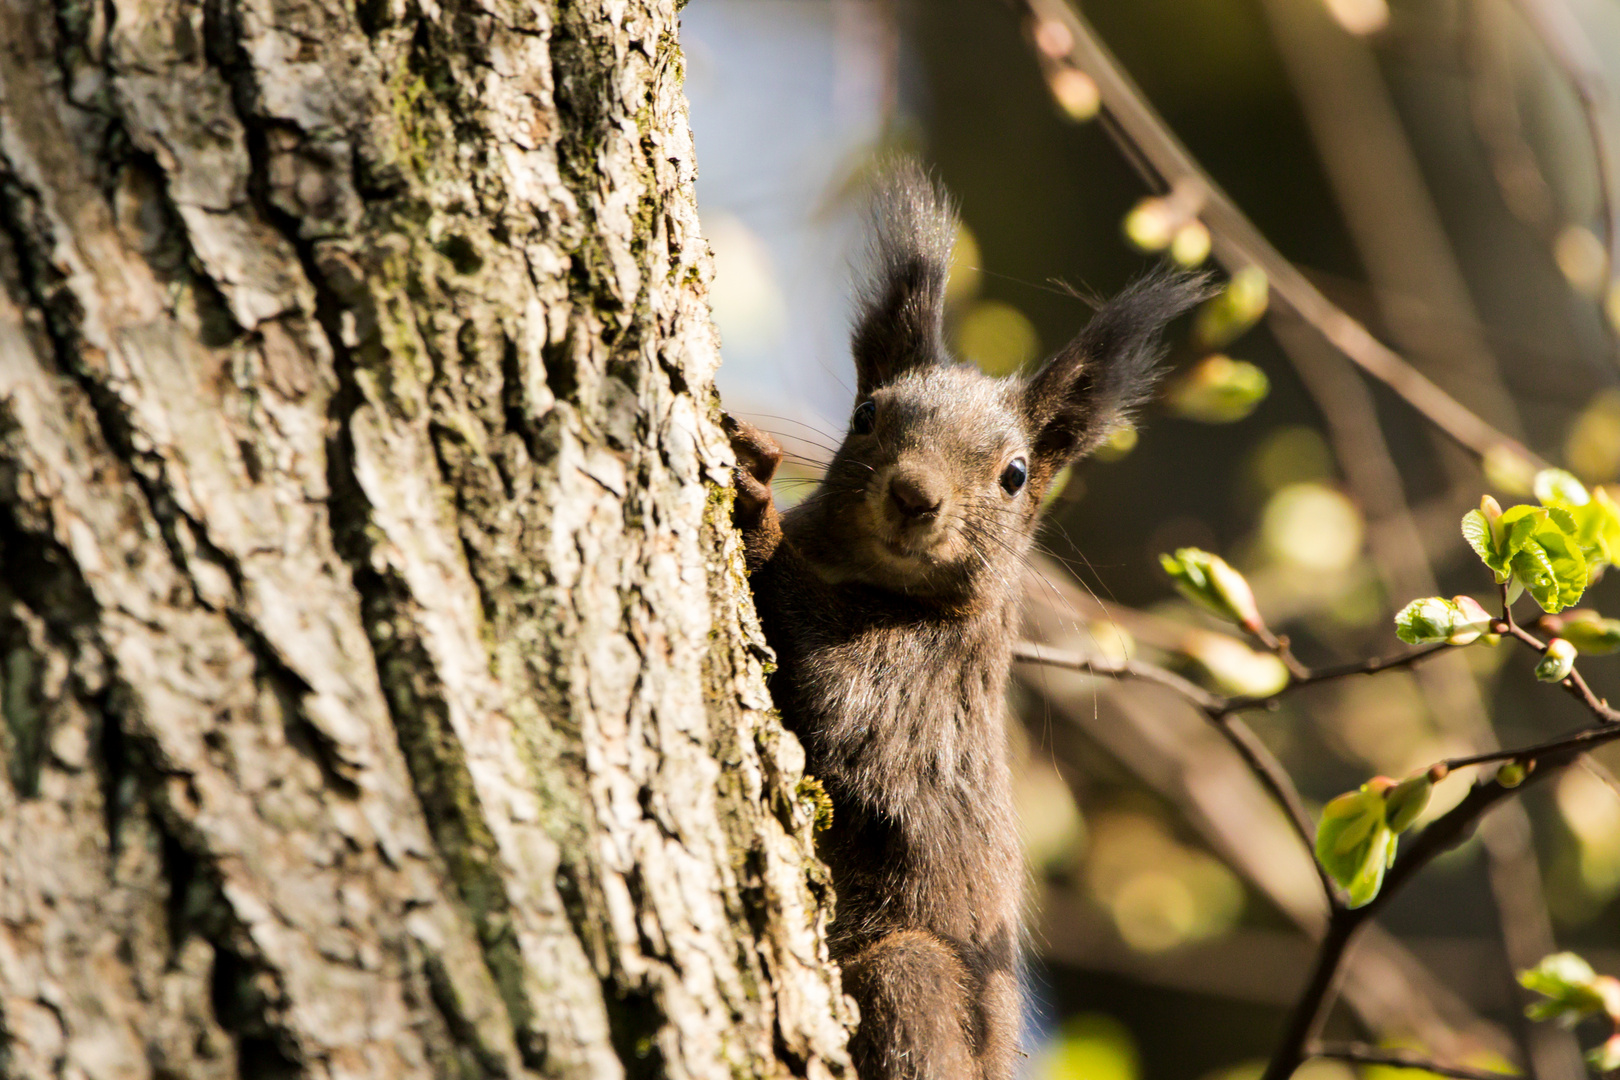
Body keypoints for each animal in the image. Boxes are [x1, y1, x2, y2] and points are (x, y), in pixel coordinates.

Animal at [729, 162, 1211, 1080]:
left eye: (1015, 474)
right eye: (867, 416)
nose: (914, 496)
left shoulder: (922, 686)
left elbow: (832, 688)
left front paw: (758, 507)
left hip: (911, 971)